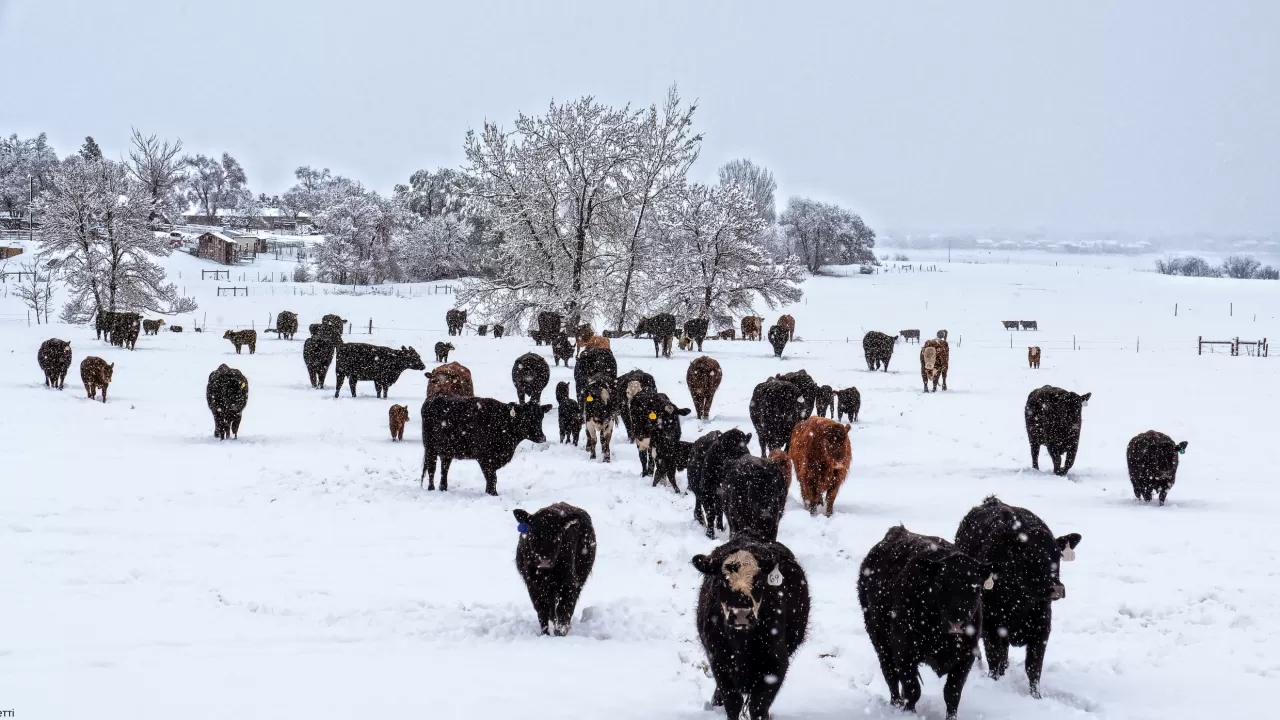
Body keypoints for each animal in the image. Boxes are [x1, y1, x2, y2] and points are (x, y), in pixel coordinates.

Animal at [419, 392, 550, 491]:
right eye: (525, 418)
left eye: (541, 417)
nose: (542, 437)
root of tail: (433, 397)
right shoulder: (485, 458)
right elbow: (492, 478)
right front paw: (493, 493)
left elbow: (492, 479)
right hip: (430, 447)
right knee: (431, 468)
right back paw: (431, 488)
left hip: (447, 450)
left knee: (444, 468)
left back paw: (443, 488)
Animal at [512, 499, 596, 632]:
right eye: (533, 533)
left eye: (557, 535)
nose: (544, 561)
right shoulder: (533, 585)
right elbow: (542, 610)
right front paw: (545, 633)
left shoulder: (569, 582)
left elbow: (564, 607)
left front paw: (561, 630)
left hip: (581, 576)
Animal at [691, 532, 808, 717]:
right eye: (721, 581)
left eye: (759, 581)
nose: (741, 614)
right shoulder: (718, 660)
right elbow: (733, 702)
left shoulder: (776, 665)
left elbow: (758, 706)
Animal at [855, 520, 993, 717]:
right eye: (941, 585)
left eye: (975, 587)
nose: (956, 623)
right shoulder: (903, 651)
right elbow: (912, 689)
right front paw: (909, 713)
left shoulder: (966, 655)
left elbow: (952, 692)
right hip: (879, 639)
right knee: (890, 674)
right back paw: (896, 704)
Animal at [952, 497, 1080, 696]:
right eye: (1030, 555)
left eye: (1057, 555)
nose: (1057, 588)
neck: (1020, 603)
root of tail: (992, 500)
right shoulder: (991, 628)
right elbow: (995, 663)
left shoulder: (1042, 629)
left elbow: (1033, 668)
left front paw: (1036, 696)